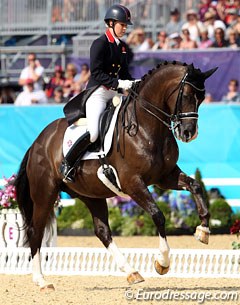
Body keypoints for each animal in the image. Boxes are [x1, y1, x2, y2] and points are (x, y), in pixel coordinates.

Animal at [14, 60, 218, 288]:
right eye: (187, 95)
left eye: (201, 98)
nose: (189, 133)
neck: (146, 127)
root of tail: (37, 142)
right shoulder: (132, 182)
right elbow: (158, 215)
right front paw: (162, 262)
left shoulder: (165, 177)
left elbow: (195, 186)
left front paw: (203, 231)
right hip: (45, 194)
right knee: (36, 231)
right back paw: (41, 281)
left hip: (91, 195)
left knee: (102, 231)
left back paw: (132, 272)